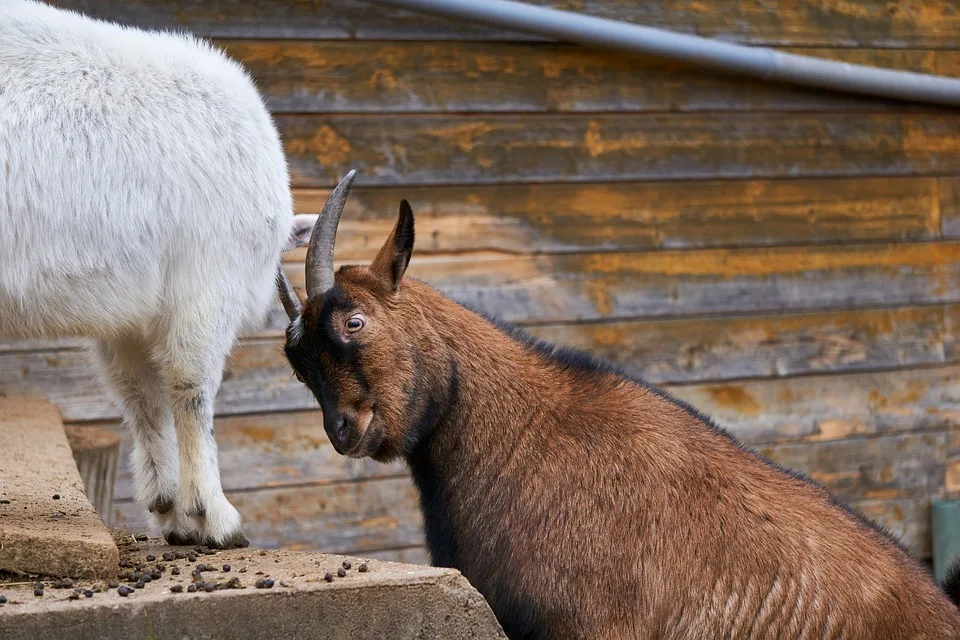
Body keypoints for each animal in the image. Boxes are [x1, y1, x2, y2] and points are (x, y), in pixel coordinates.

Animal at [0, 1, 316, 552]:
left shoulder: (126, 312)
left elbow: (140, 395)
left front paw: (169, 509)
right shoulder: (209, 279)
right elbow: (192, 388)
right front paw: (215, 517)